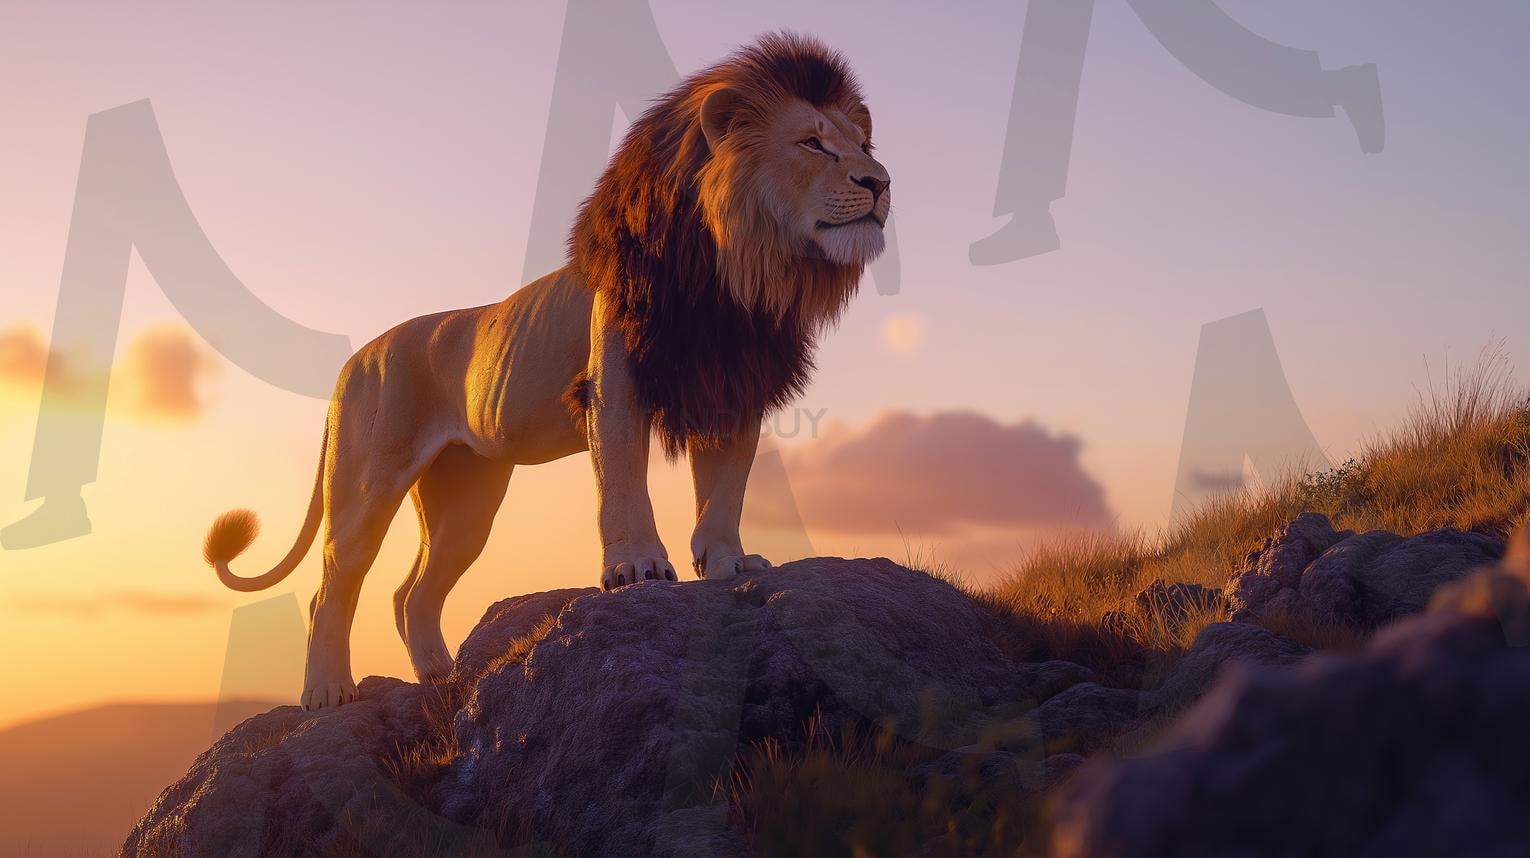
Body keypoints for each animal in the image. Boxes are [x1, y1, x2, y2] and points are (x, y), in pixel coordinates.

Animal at [203, 32, 891, 710]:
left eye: (863, 146)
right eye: (811, 142)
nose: (882, 183)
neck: (737, 270)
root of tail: (351, 361)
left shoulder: (732, 388)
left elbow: (725, 490)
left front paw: (730, 563)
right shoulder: (615, 383)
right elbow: (623, 479)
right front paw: (638, 570)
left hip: (467, 502)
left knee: (410, 594)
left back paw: (445, 683)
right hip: (367, 481)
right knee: (333, 586)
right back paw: (327, 691)